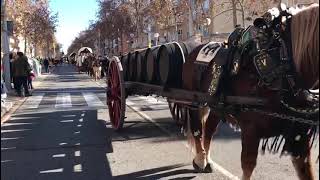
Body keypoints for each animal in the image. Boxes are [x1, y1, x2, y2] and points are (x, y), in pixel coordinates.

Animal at [182, 3, 318, 180]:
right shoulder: (250, 130)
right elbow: (248, 165)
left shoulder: (299, 137)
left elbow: (306, 169)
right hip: (194, 103)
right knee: (197, 130)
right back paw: (200, 159)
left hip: (216, 106)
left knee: (209, 129)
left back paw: (207, 159)